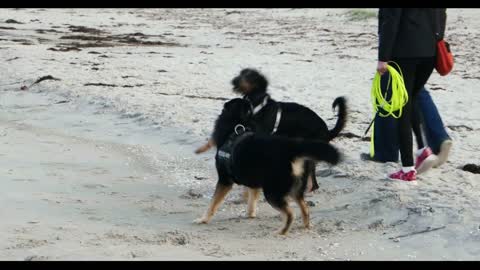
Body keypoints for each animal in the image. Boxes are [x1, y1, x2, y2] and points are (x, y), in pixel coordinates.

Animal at [193, 98, 340, 235]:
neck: (239, 125)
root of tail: (292, 151)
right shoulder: (253, 181)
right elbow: (252, 200)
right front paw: (250, 214)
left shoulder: (224, 180)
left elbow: (213, 203)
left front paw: (203, 219)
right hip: (295, 188)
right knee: (305, 208)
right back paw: (305, 226)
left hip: (272, 192)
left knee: (290, 213)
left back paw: (282, 232)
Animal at [196, 68, 348, 194]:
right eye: (241, 73)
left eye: (248, 75)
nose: (233, 81)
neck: (256, 105)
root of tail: (327, 131)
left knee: (312, 179)